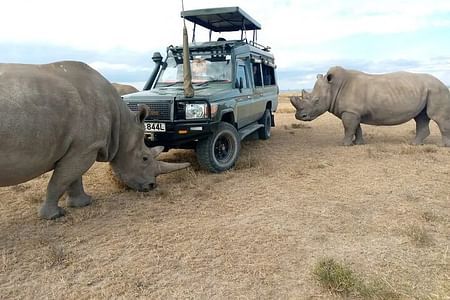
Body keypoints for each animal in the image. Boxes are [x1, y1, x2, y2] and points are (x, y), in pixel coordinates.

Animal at [0, 61, 190, 220]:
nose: (151, 186)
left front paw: (83, 203)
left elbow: (72, 177)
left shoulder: (81, 147)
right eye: (144, 158)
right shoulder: (85, 147)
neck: (121, 125)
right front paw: (54, 216)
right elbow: (61, 180)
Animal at [290, 66, 450, 146]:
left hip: (437, 90)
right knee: (421, 117)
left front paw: (344, 144)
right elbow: (356, 128)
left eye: (316, 100)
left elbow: (348, 128)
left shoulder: (350, 112)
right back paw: (414, 144)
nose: (299, 116)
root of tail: (442, 82)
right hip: (428, 91)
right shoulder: (353, 112)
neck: (333, 87)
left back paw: (441, 146)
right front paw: (358, 143)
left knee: (437, 117)